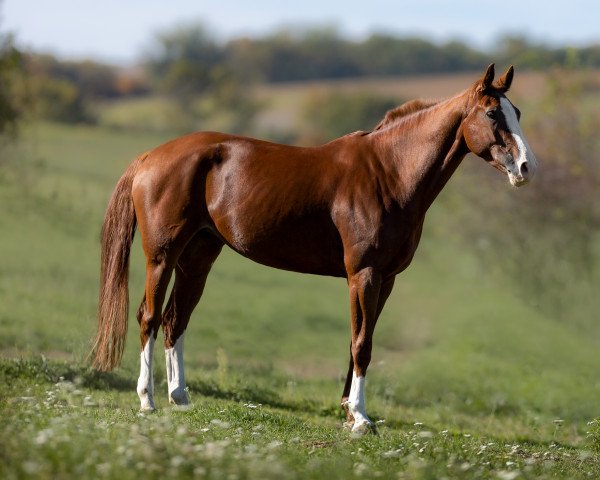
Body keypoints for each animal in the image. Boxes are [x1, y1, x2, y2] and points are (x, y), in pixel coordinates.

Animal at [90, 62, 540, 434]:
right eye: (492, 113)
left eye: (517, 112)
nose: (526, 168)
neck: (390, 173)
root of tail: (151, 156)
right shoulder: (364, 274)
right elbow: (362, 344)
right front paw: (360, 418)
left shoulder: (386, 279)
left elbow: (359, 341)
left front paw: (349, 411)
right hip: (162, 256)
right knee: (149, 318)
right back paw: (147, 400)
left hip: (198, 257)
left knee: (175, 321)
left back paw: (179, 398)